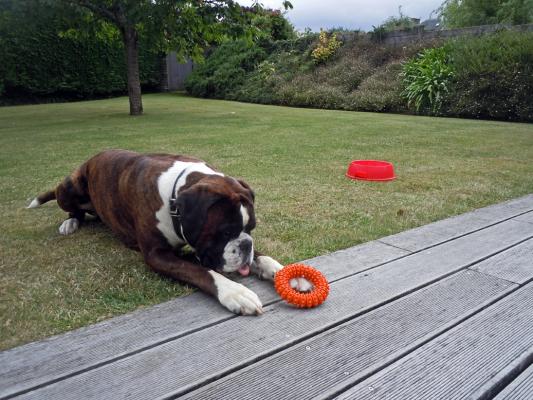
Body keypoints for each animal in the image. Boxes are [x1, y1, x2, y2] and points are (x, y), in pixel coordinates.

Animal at [28, 149, 312, 316]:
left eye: (250, 229)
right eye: (224, 232)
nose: (244, 245)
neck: (175, 197)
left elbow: (263, 257)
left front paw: (287, 273)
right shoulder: (157, 255)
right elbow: (203, 271)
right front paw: (234, 292)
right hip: (69, 187)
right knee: (73, 209)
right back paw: (70, 223)